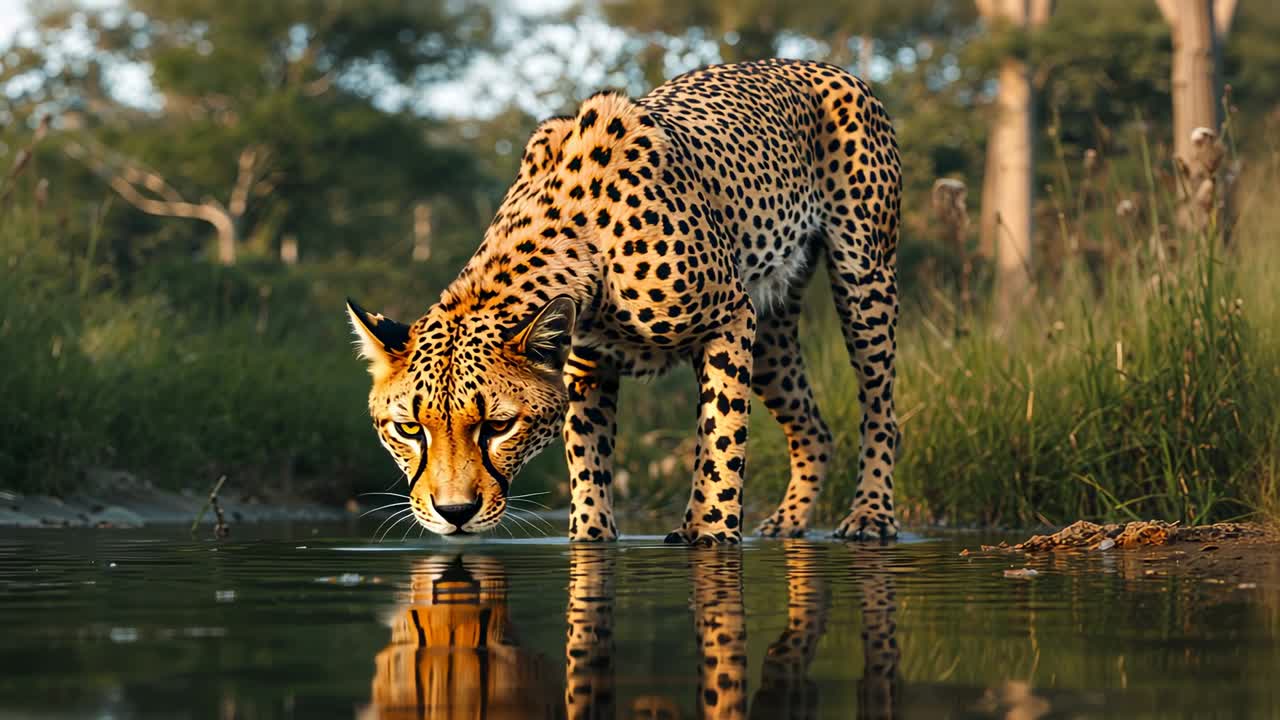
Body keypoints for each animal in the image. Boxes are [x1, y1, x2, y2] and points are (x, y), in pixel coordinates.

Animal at [346, 58, 902, 545]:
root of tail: (809, 63)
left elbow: (722, 434)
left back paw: (870, 516)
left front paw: (713, 531)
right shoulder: (586, 364)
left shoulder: (730, 318)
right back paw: (787, 521)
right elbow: (587, 456)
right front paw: (591, 536)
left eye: (499, 426)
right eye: (408, 428)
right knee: (815, 429)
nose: (454, 512)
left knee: (880, 408)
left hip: (864, 280)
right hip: (770, 334)